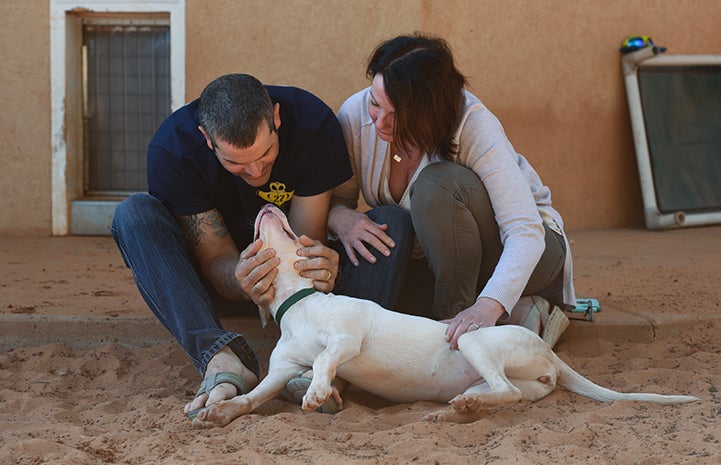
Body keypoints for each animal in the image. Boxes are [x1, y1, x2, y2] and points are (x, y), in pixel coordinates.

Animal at [188, 205, 696, 426]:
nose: (267, 204)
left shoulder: (346, 340)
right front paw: (223, 409)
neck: (301, 304)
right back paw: (458, 410)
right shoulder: (280, 369)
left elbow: (325, 360)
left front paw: (317, 392)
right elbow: (256, 396)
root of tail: (548, 354)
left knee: (507, 390)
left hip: (472, 340)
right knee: (509, 394)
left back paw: (461, 410)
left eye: (296, 234)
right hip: (504, 380)